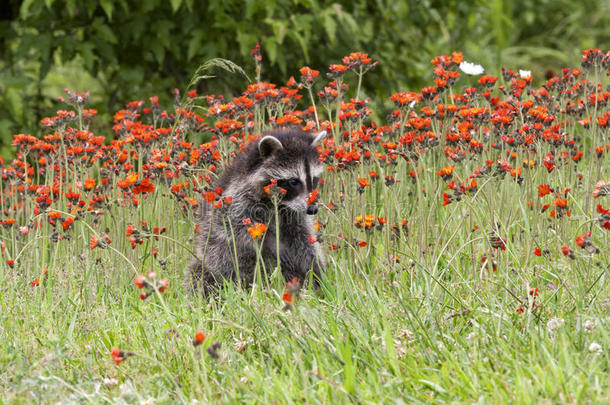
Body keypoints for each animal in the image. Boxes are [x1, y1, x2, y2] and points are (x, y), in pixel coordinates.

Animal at [188, 128, 326, 292]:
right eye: (294, 181)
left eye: (314, 180)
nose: (313, 209)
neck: (281, 204)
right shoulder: (235, 197)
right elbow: (236, 225)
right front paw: (270, 241)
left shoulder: (295, 213)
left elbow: (303, 238)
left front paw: (316, 270)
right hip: (212, 261)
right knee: (202, 274)